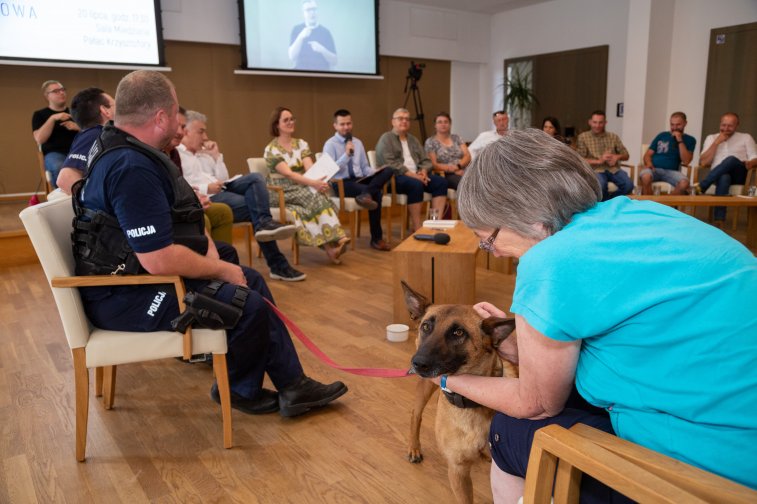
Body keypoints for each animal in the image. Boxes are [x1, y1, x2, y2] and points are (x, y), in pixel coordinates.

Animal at [402, 282, 520, 502]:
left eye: (458, 333)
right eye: (426, 327)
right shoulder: (458, 471)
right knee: (415, 414)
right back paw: (414, 448)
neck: (473, 400)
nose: (418, 363)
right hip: (425, 387)